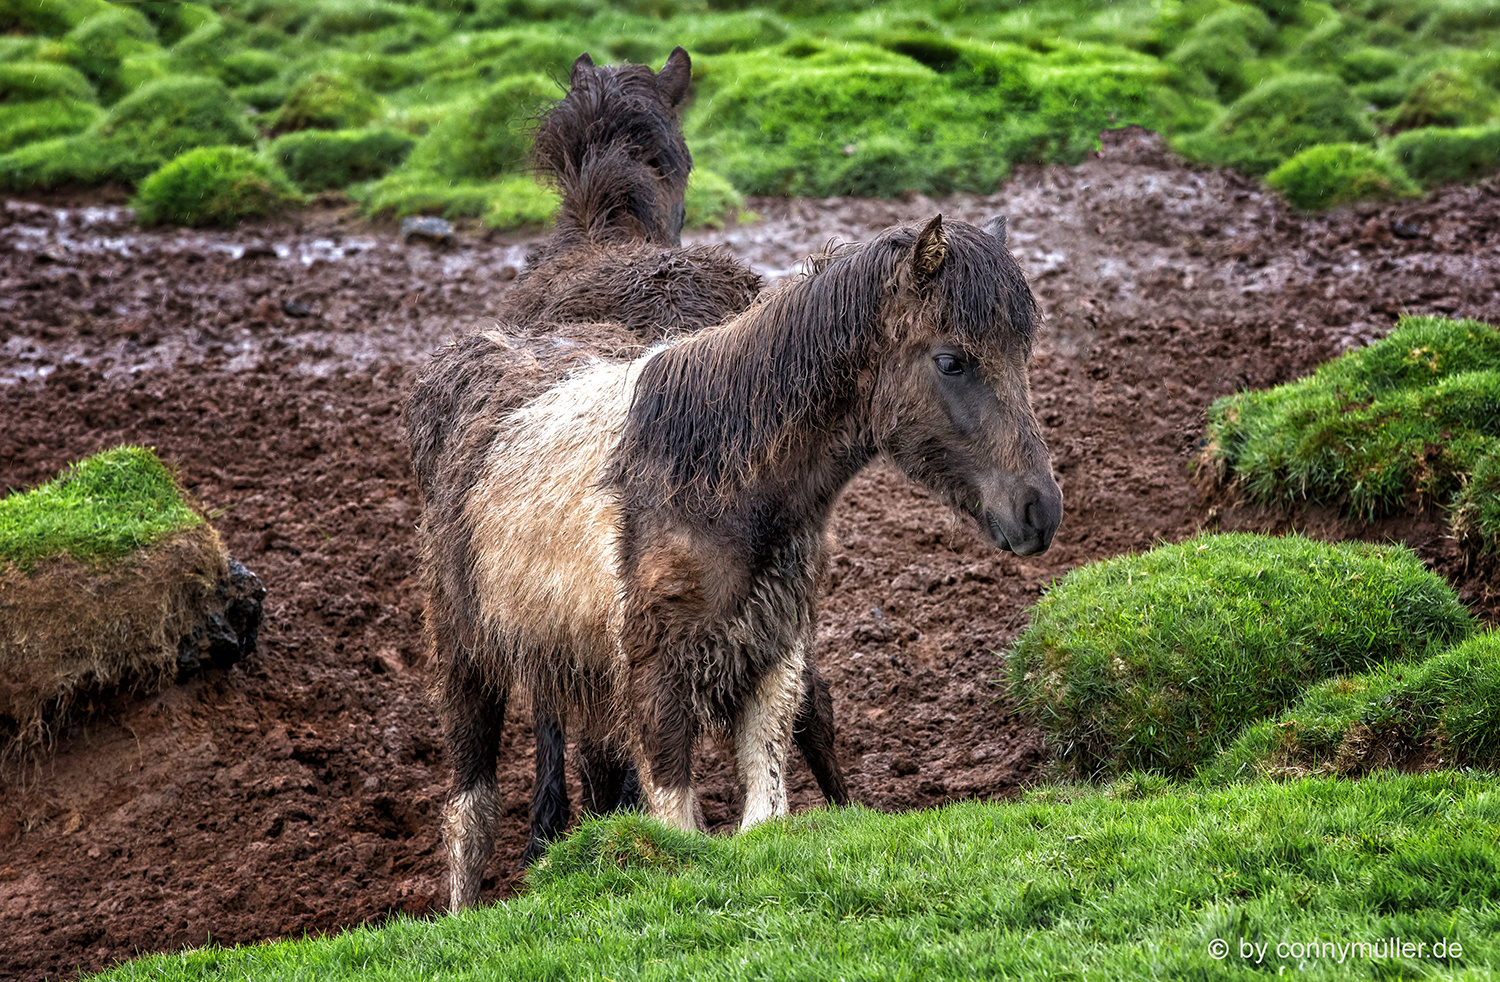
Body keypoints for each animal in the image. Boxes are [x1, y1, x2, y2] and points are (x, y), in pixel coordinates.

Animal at [417, 212, 1062, 905]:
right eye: (950, 361)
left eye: (1021, 355)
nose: (1039, 511)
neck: (714, 481)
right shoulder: (656, 683)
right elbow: (675, 825)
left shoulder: (772, 656)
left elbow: (764, 813)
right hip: (468, 655)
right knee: (471, 811)